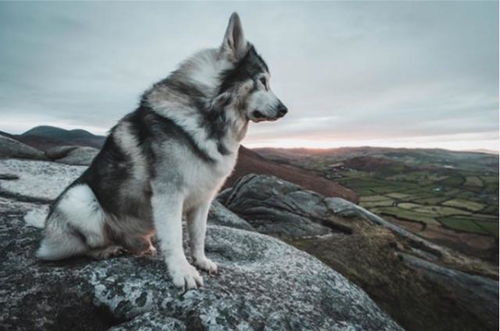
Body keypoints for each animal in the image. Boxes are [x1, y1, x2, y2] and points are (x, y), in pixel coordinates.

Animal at [36, 12, 286, 290]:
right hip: (80, 198)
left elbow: (199, 235)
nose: (284, 109)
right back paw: (105, 250)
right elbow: (175, 238)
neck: (209, 113)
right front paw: (182, 271)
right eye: (262, 81)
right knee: (81, 246)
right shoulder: (169, 194)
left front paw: (201, 261)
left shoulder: (203, 199)